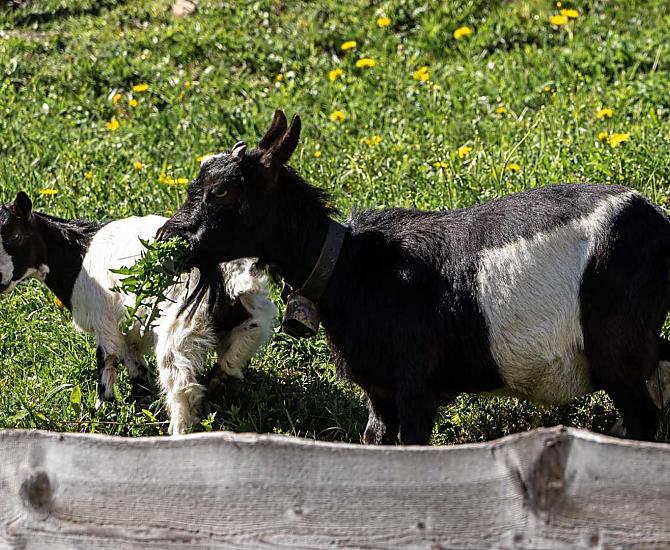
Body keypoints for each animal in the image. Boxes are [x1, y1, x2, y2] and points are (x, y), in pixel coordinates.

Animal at [0, 192, 275, 435]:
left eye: (15, 235)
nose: (0, 281)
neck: (77, 255)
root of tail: (227, 275)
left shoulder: (105, 321)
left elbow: (107, 362)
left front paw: (101, 412)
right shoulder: (128, 326)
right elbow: (135, 365)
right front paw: (138, 399)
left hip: (181, 328)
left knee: (183, 386)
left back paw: (179, 433)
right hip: (251, 317)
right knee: (235, 355)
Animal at [157, 109, 670, 444]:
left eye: (222, 192)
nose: (167, 236)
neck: (351, 268)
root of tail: (658, 223)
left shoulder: (416, 385)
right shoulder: (379, 391)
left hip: (616, 346)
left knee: (643, 417)